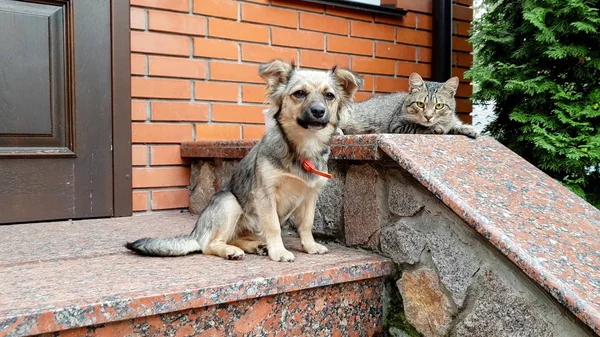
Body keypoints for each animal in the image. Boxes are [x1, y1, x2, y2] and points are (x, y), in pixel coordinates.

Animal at [125, 59, 364, 262]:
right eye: (299, 93)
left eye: (329, 95)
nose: (318, 111)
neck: (302, 148)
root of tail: (196, 232)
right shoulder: (265, 193)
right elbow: (274, 226)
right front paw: (279, 252)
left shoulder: (309, 195)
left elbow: (306, 224)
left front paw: (310, 246)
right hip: (229, 202)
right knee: (209, 245)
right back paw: (232, 251)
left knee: (237, 237)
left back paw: (257, 246)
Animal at [340, 72, 480, 138]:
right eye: (420, 104)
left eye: (439, 106)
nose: (428, 116)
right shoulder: (396, 126)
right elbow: (417, 127)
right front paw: (434, 128)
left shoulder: (450, 121)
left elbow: (455, 124)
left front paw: (469, 129)